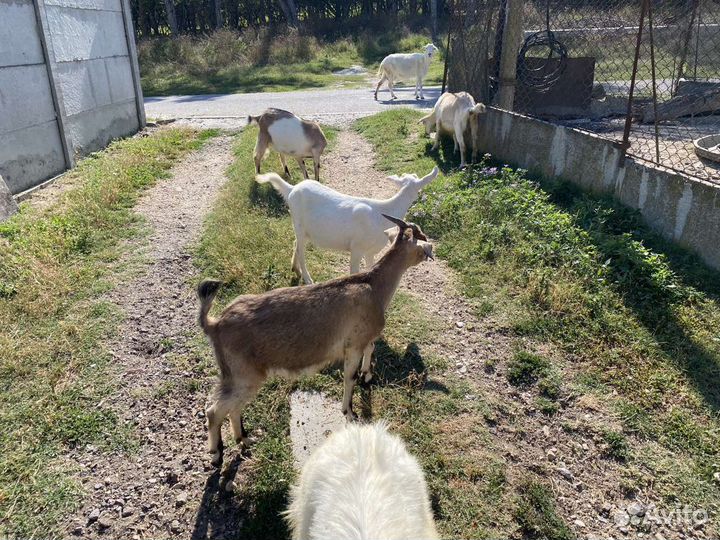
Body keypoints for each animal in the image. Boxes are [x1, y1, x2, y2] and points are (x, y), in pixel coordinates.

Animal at [197, 216, 433, 466]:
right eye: (421, 238)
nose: (431, 250)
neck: (373, 285)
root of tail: (214, 324)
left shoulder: (363, 340)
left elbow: (370, 350)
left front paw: (367, 375)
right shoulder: (353, 345)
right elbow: (349, 377)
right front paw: (349, 412)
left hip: (237, 376)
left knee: (233, 408)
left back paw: (244, 439)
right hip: (244, 375)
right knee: (215, 411)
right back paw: (216, 454)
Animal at [256, 166, 439, 284]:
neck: (383, 213)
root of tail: (291, 189)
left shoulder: (371, 251)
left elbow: (371, 268)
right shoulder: (357, 247)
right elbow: (354, 272)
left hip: (306, 230)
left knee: (295, 244)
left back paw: (296, 269)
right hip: (298, 223)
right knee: (300, 250)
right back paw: (307, 278)